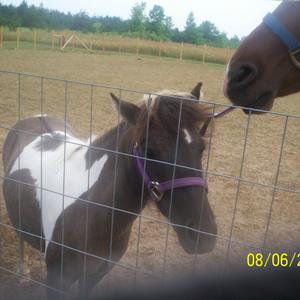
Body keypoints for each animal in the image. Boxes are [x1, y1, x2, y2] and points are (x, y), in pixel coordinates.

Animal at [2, 83, 218, 298]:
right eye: (149, 151)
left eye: (201, 148)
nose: (203, 235)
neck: (92, 213)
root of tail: (36, 117)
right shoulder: (57, 281)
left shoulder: (95, 274)